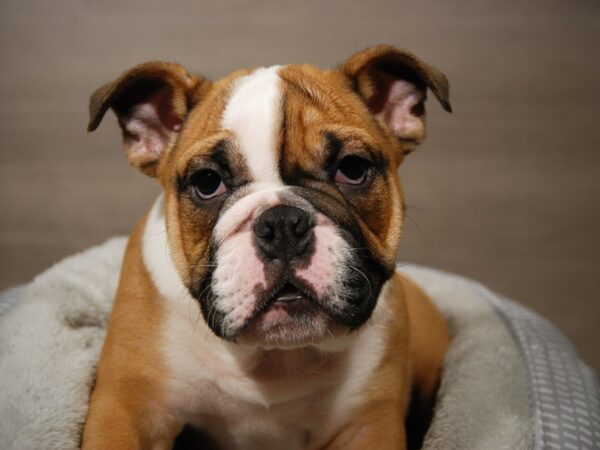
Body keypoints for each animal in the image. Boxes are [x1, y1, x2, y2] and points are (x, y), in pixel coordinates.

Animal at [82, 45, 452, 450]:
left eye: (353, 169)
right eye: (207, 182)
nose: (283, 223)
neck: (274, 359)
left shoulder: (368, 424)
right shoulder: (129, 405)